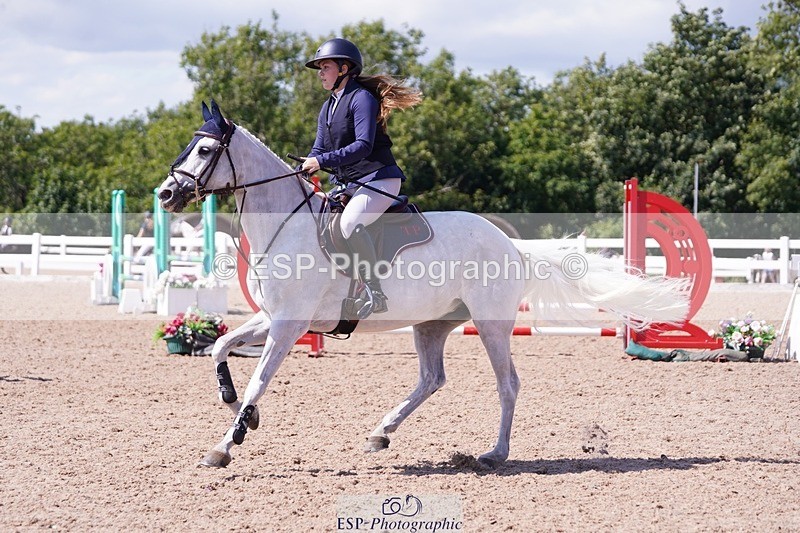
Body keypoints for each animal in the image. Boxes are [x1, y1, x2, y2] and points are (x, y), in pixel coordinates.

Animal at [157, 101, 689, 469]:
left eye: (205, 150)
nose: (165, 194)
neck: (288, 222)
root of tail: (511, 245)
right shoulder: (273, 318)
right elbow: (220, 345)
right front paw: (233, 405)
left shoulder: (289, 325)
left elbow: (259, 380)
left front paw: (226, 444)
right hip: (432, 324)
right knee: (432, 378)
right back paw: (381, 432)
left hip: (491, 325)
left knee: (508, 384)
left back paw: (494, 454)